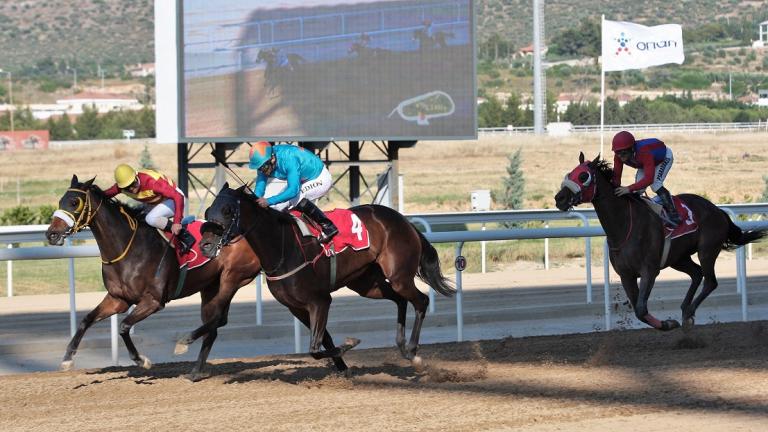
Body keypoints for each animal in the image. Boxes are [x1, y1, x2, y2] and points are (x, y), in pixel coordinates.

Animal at [45, 176, 262, 382]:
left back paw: (184, 344)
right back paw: (195, 371)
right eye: (60, 200)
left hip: (231, 278)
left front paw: (141, 360)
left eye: (74, 202)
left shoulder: (154, 301)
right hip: (210, 287)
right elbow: (86, 320)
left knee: (219, 319)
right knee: (214, 326)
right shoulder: (118, 300)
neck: (128, 248)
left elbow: (124, 326)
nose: (51, 234)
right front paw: (67, 359)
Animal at [196, 184, 456, 370]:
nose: (205, 245)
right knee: (401, 300)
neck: (282, 247)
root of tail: (405, 221)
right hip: (366, 284)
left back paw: (413, 352)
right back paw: (402, 346)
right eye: (208, 211)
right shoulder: (297, 307)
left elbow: (314, 347)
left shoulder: (320, 300)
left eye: (228, 211)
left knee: (421, 301)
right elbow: (324, 341)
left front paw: (349, 345)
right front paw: (343, 367)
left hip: (399, 275)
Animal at [556, 154, 764, 330]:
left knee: (710, 282)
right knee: (697, 273)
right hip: (678, 258)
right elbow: (638, 309)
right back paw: (685, 309)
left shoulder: (649, 270)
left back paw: (688, 312)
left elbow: (641, 309)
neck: (624, 225)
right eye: (569, 173)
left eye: (583, 175)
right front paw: (668, 323)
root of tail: (718, 210)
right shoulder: (626, 275)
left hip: (707, 250)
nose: (559, 198)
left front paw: (668, 324)